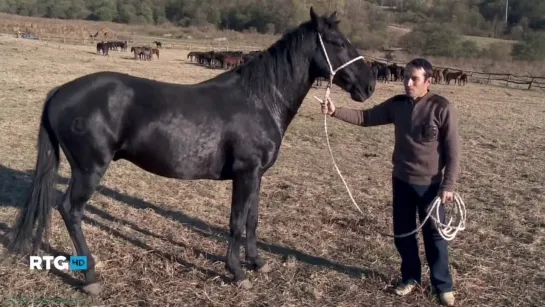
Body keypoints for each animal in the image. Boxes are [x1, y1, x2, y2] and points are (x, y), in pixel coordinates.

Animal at [6, 7, 376, 296]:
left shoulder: (257, 176)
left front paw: (258, 263)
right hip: (89, 170)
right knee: (70, 210)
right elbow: (236, 222)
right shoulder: (245, 173)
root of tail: (60, 92)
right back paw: (91, 277)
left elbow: (253, 220)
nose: (369, 86)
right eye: (338, 43)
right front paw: (237, 273)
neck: (260, 100)